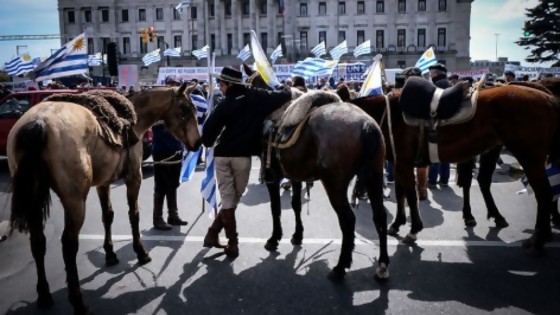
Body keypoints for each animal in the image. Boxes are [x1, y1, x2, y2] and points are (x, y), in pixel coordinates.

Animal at [7, 84, 203, 315]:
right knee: (68, 245)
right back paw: (78, 302)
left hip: (35, 198)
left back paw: (44, 294)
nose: (198, 142)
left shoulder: (103, 183)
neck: (134, 120)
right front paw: (141, 252)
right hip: (74, 201)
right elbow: (134, 215)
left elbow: (107, 216)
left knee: (38, 242)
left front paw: (110, 254)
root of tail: (38, 123)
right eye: (185, 109)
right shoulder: (133, 177)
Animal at [350, 83, 560, 254]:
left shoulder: (403, 162)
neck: (387, 115)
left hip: (529, 157)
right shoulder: (399, 162)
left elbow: (409, 194)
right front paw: (397, 223)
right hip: (494, 149)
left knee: (544, 193)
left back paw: (538, 239)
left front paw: (413, 229)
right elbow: (400, 192)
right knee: (486, 181)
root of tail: (549, 98)